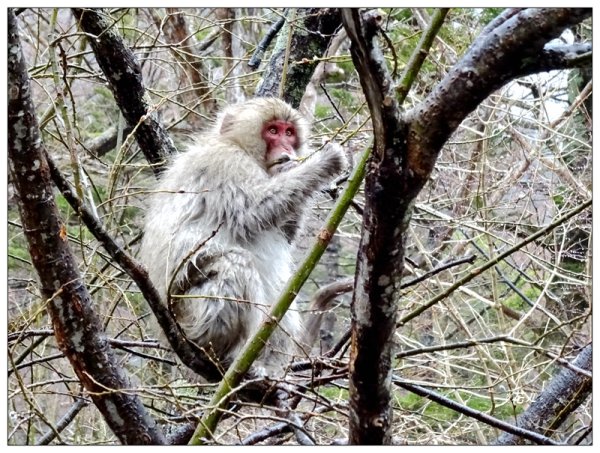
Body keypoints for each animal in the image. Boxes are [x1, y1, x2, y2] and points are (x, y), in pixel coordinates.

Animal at [140, 97, 344, 376]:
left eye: (289, 133)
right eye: (273, 131)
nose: (285, 147)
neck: (240, 147)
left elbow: (284, 233)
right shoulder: (228, 162)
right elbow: (252, 212)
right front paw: (321, 163)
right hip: (189, 315)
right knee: (236, 263)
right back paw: (226, 356)